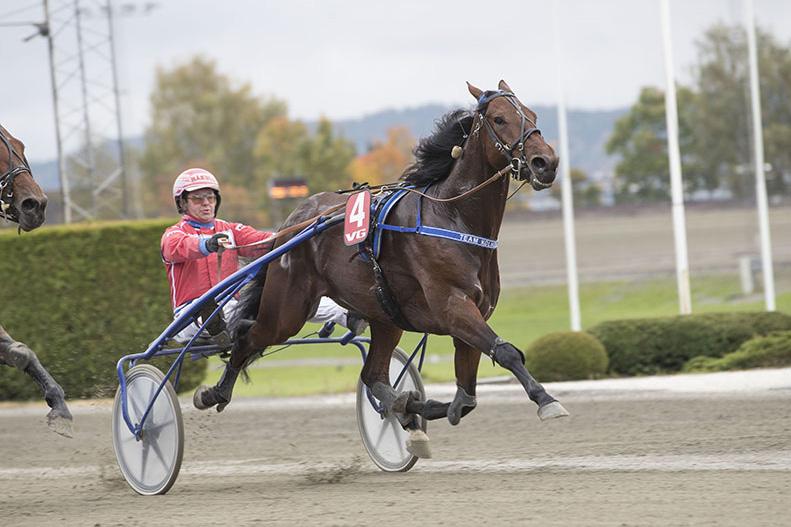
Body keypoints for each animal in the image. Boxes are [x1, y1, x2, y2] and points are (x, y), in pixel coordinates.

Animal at [197, 80, 568, 456]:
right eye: (499, 118)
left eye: (533, 116)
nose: (545, 162)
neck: (454, 217)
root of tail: (291, 222)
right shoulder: (453, 307)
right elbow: (505, 352)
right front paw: (546, 400)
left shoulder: (474, 312)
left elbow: (466, 398)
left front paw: (424, 407)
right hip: (287, 311)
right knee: (247, 337)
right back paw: (213, 392)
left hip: (385, 315)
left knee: (373, 376)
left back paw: (406, 408)